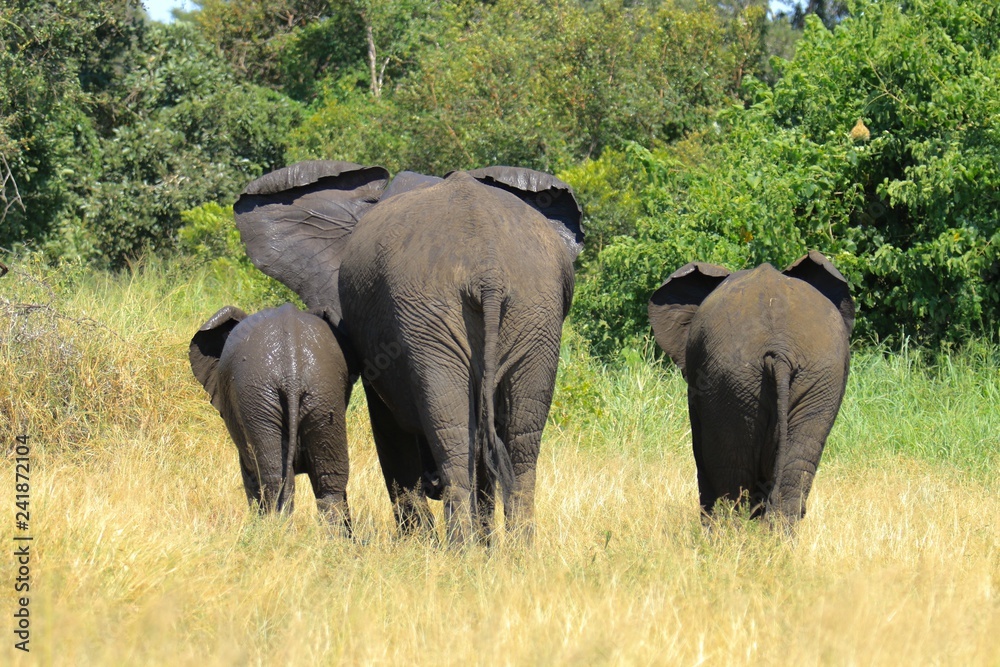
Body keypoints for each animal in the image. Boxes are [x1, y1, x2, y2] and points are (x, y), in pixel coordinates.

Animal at [189, 303, 356, 532]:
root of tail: (292, 372)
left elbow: (249, 472)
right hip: (322, 393)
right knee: (329, 478)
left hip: (258, 397)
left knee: (275, 477)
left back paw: (276, 532)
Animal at [233, 161, 584, 544]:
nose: (432, 485)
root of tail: (487, 270)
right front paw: (479, 546)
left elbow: (388, 428)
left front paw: (416, 543)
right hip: (526, 311)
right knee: (516, 438)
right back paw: (512, 551)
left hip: (449, 315)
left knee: (459, 434)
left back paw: (461, 550)